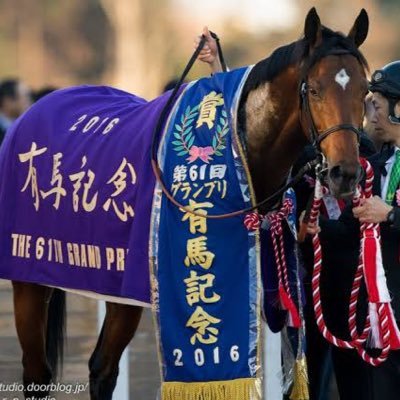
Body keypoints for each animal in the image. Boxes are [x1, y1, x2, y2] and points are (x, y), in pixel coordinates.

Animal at [7, 7, 368, 400]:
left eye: (364, 89)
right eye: (314, 90)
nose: (345, 173)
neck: (240, 158)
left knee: (102, 368)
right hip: (28, 274)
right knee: (38, 372)